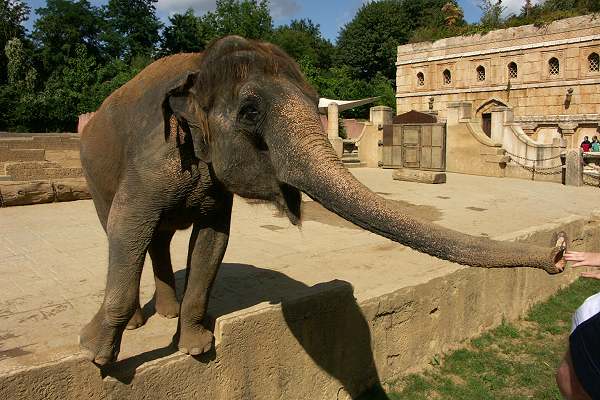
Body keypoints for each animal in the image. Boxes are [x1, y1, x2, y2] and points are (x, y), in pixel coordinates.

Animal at [79, 35, 568, 366]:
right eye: (250, 111)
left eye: (316, 100)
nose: (558, 253)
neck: (199, 66)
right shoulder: (153, 157)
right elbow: (127, 226)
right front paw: (96, 355)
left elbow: (213, 240)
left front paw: (198, 347)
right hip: (93, 171)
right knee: (123, 228)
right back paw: (141, 321)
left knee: (159, 238)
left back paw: (168, 311)